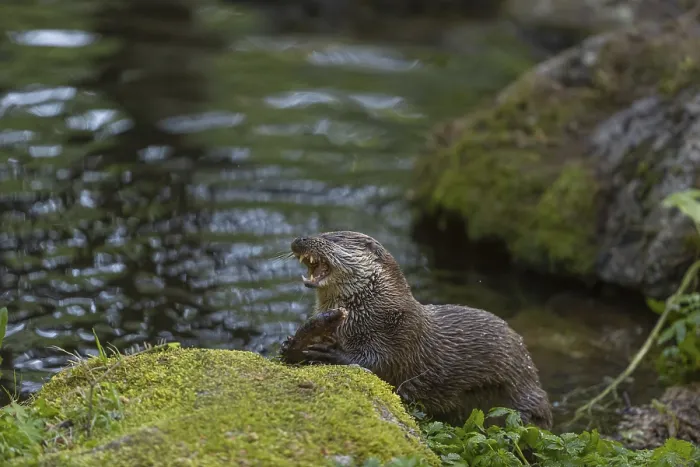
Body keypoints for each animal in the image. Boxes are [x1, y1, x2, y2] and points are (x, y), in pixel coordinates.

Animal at [288, 230, 553, 429]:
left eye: (333, 238)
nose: (298, 239)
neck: (373, 310)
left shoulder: (400, 333)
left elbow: (379, 365)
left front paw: (328, 353)